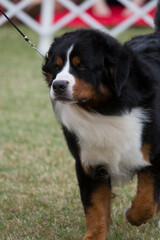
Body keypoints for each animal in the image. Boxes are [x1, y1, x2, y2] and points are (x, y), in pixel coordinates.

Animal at [42, 3, 160, 240]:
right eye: (56, 66)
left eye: (82, 66)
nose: (58, 85)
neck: (105, 110)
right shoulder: (89, 163)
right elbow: (95, 208)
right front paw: (94, 235)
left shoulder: (153, 156)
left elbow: (146, 201)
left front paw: (131, 214)